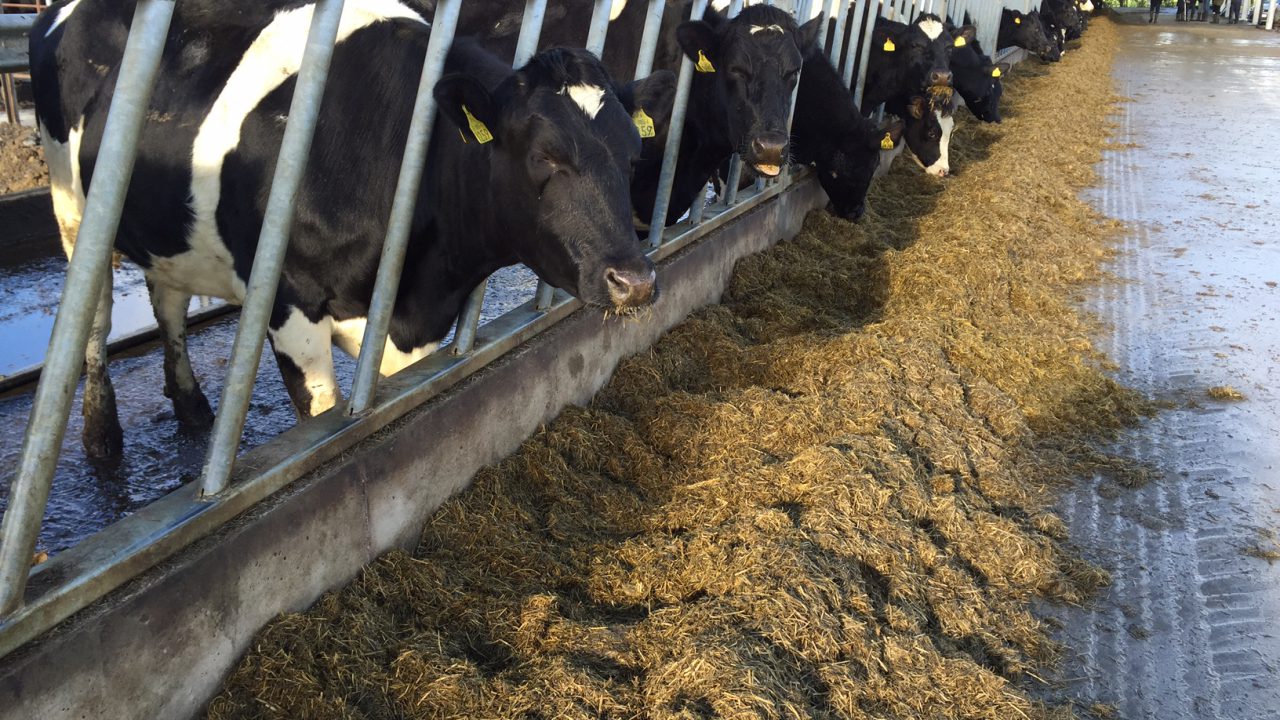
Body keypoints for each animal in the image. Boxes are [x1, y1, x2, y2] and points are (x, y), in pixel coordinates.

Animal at [30, 0, 675, 457]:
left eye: (633, 154)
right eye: (544, 156)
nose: (635, 282)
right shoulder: (290, 305)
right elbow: (322, 422)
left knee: (167, 298)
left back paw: (191, 408)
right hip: (71, 207)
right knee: (94, 320)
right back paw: (101, 438)